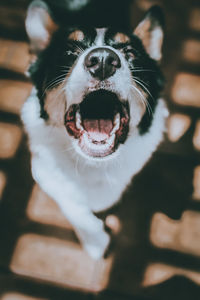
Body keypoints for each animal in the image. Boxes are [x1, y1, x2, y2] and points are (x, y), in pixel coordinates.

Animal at [21, 0, 168, 258]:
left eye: (130, 53)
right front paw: (95, 240)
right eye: (69, 51)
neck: (92, 162)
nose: (102, 60)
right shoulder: (42, 171)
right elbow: (73, 205)